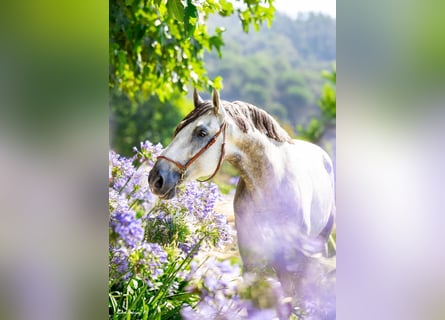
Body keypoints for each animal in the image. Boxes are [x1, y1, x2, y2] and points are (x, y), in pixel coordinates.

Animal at [147, 89, 334, 318]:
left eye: (201, 132)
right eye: (178, 129)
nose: (156, 179)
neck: (270, 189)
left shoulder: (288, 263)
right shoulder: (251, 261)